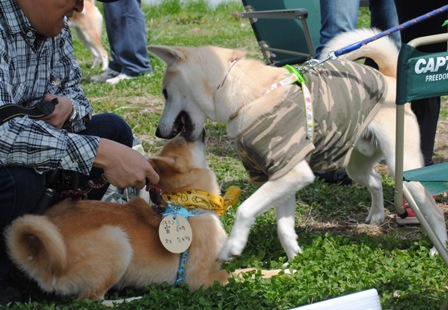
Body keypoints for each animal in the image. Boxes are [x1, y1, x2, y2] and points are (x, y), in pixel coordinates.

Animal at [148, 28, 448, 262]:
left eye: (164, 92)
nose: (158, 132)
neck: (246, 95)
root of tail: (390, 78)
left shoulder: (292, 173)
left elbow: (246, 209)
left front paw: (232, 247)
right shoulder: (280, 175)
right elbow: (283, 227)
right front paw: (293, 261)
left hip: (403, 168)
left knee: (432, 210)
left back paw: (438, 249)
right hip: (357, 164)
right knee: (374, 180)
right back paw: (375, 215)